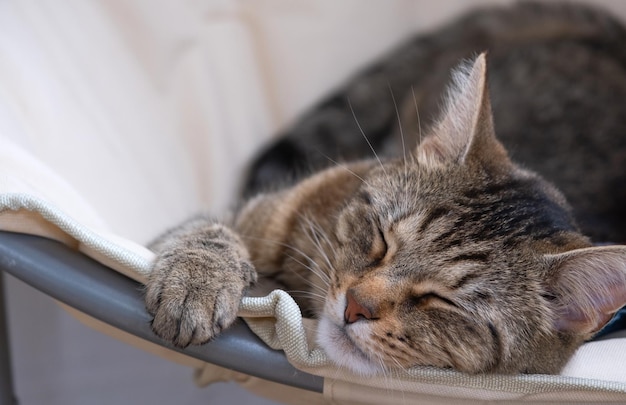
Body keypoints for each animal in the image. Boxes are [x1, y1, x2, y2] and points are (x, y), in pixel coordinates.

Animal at [144, 2, 624, 376]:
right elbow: (208, 231)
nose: (355, 305)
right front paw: (196, 279)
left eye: (440, 300)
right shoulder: (247, 213)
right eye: (381, 238)